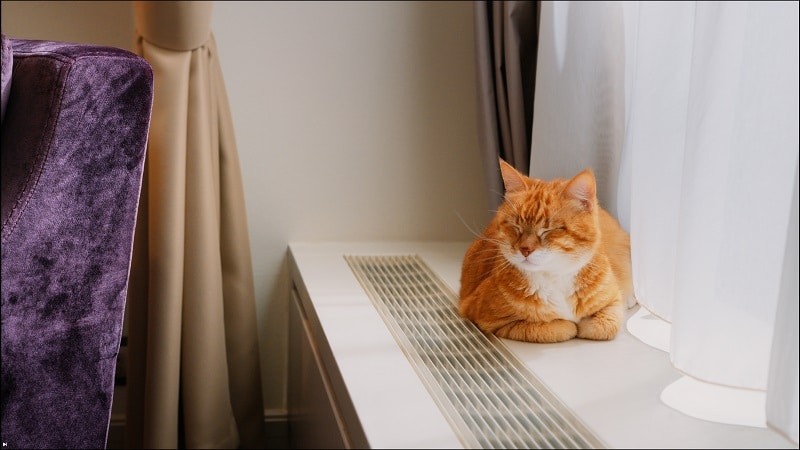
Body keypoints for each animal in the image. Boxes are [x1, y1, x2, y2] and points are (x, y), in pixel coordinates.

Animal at [460, 160, 636, 342]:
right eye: (516, 227)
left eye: (549, 230)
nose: (525, 249)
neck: (555, 277)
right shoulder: (488, 318)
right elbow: (556, 328)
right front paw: (569, 325)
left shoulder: (612, 302)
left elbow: (603, 326)